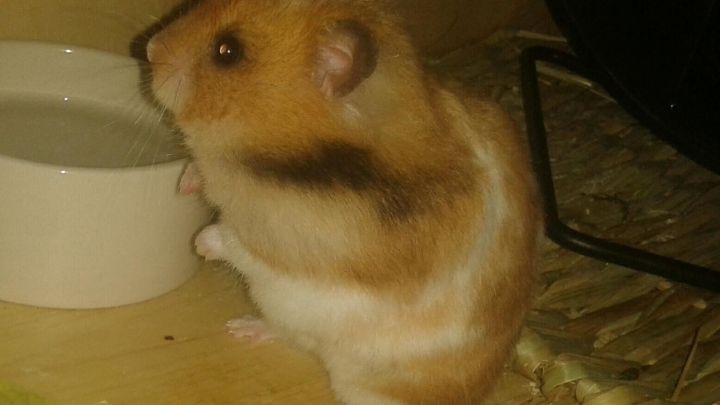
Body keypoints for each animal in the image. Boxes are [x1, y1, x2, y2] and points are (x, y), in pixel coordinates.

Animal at [147, 1, 540, 403]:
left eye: (228, 52)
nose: (148, 49)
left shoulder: (290, 247)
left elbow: (237, 243)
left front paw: (199, 244)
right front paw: (184, 184)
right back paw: (239, 328)